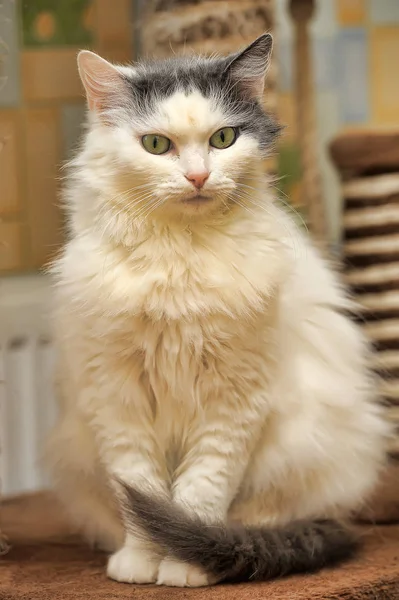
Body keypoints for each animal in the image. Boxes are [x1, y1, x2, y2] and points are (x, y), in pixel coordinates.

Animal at [45, 34, 390, 584]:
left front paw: (187, 566)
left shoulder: (235, 399)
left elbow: (200, 493)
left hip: (303, 449)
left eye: (224, 138)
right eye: (156, 145)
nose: (198, 177)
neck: (180, 260)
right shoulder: (116, 398)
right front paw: (140, 565)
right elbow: (138, 491)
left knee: (265, 513)